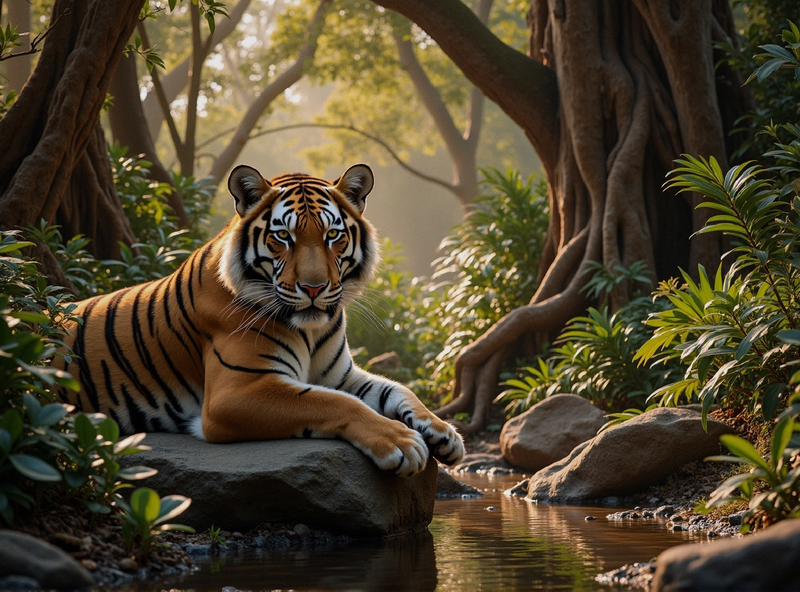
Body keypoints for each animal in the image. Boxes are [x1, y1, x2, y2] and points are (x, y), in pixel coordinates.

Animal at [54, 163, 464, 476]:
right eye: (283, 237)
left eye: (333, 235)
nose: (314, 288)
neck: (312, 328)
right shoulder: (236, 391)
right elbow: (333, 403)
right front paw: (402, 442)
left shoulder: (339, 376)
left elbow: (398, 390)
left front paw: (443, 433)